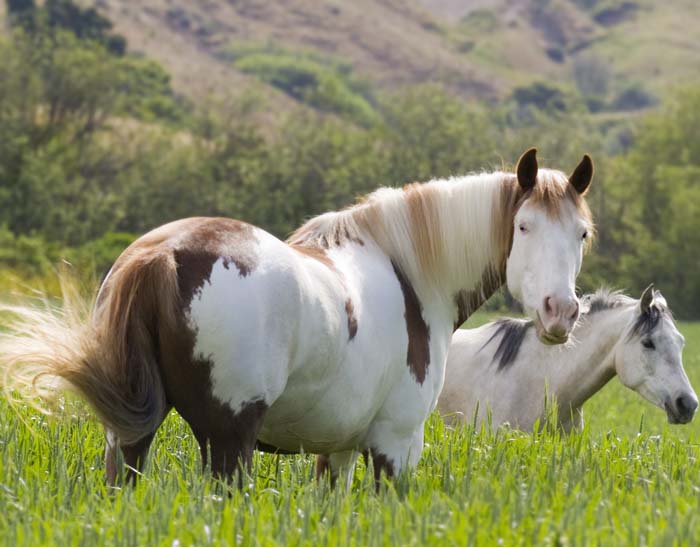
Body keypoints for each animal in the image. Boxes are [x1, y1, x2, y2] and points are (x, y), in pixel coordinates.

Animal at [0, 148, 592, 486]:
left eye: (581, 233)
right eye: (523, 227)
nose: (560, 313)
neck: (410, 273)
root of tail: (162, 253)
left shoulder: (339, 450)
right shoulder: (396, 445)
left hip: (129, 436)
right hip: (228, 442)